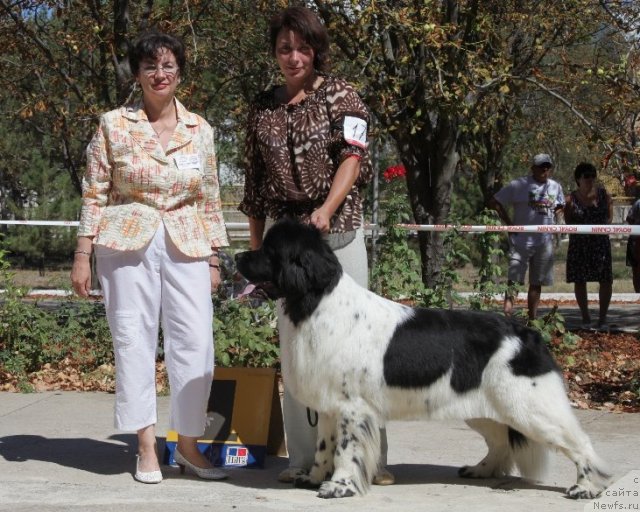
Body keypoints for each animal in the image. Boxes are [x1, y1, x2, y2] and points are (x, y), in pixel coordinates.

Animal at [234, 220, 608, 500]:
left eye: (269, 251)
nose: (237, 256)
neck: (316, 303)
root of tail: (529, 333)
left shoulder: (351, 407)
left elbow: (344, 449)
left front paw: (338, 486)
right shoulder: (329, 406)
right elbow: (324, 446)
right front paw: (314, 478)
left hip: (529, 406)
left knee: (581, 442)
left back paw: (586, 487)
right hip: (487, 407)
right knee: (500, 442)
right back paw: (481, 470)